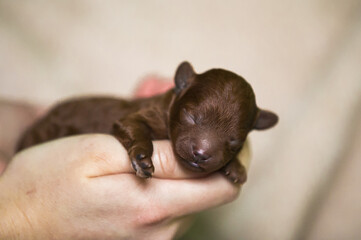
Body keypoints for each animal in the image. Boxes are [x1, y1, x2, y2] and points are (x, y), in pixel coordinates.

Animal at [15, 62, 278, 184]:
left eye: (235, 141)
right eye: (191, 117)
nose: (201, 154)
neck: (169, 104)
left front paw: (236, 168)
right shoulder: (137, 116)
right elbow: (136, 128)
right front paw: (142, 158)